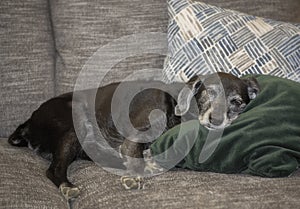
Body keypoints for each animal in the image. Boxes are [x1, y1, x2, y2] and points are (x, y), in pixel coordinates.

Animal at [8, 72, 258, 199]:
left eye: (237, 102)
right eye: (209, 93)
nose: (215, 120)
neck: (175, 104)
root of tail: (28, 122)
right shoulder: (134, 138)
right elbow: (134, 154)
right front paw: (135, 174)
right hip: (74, 120)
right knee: (54, 169)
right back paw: (68, 186)